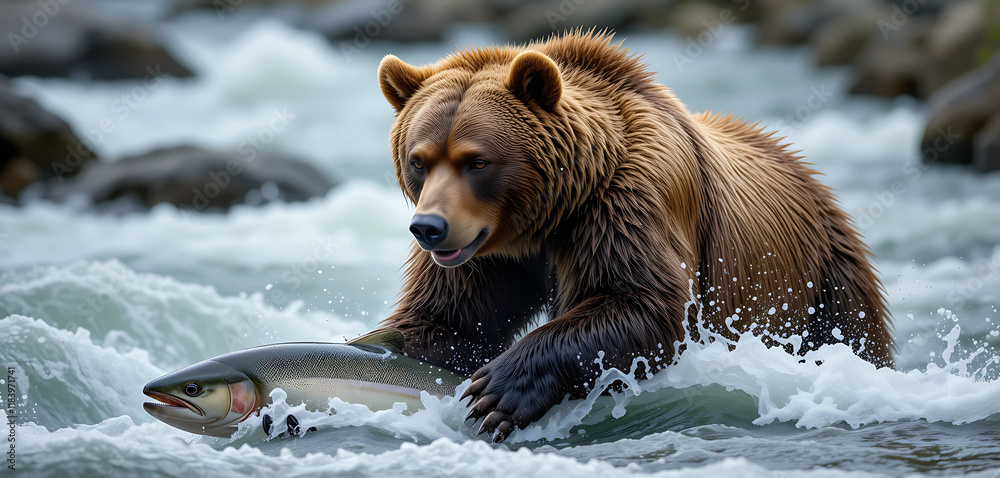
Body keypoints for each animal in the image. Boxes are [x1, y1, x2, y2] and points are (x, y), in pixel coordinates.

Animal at [362, 30, 893, 442]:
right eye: (419, 159)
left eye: (477, 161)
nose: (429, 228)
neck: (547, 216)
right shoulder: (490, 256)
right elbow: (453, 320)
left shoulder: (629, 205)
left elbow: (643, 303)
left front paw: (498, 390)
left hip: (823, 283)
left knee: (854, 335)